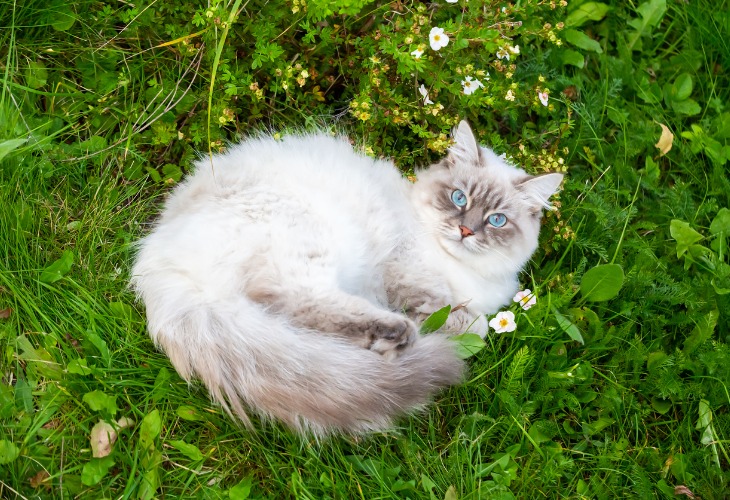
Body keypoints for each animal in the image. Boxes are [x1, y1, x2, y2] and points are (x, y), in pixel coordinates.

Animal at [132, 120, 564, 434]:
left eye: (497, 220)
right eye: (459, 198)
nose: (466, 231)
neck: (463, 270)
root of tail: (159, 267)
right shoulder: (407, 277)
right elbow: (469, 322)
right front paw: (450, 325)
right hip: (312, 238)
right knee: (292, 300)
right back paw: (397, 337)